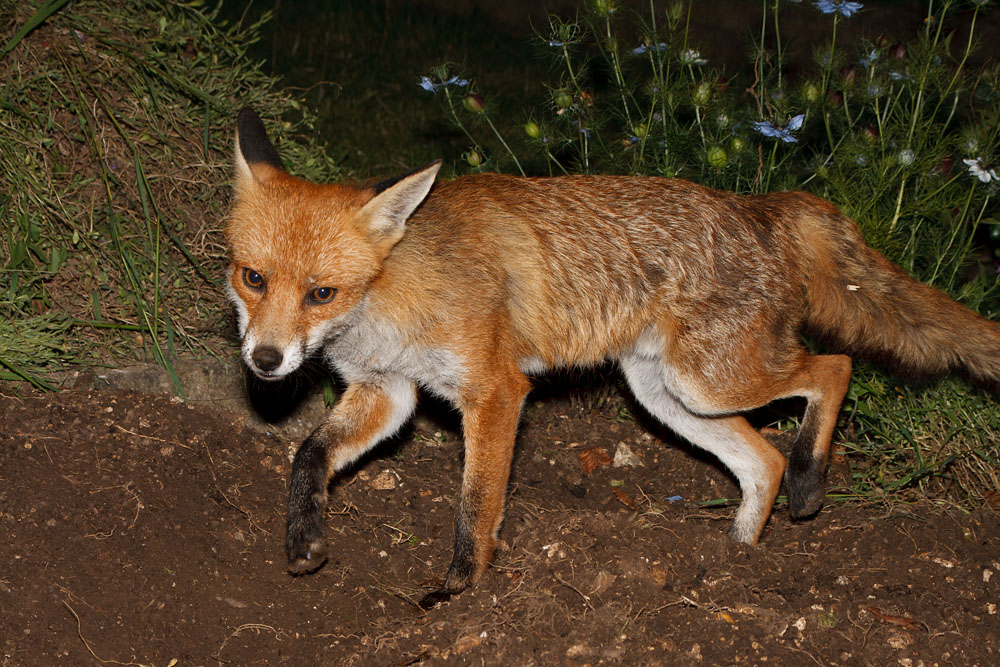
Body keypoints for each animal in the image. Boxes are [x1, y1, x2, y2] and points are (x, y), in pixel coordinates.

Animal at [226, 107, 1000, 607]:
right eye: (252, 278)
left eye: (322, 292)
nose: (265, 360)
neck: (389, 299)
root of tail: (764, 206)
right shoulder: (388, 391)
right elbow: (308, 455)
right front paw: (304, 542)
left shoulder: (495, 391)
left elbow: (477, 504)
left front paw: (458, 590)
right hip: (668, 395)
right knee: (762, 459)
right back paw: (734, 562)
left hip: (712, 380)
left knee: (833, 369)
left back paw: (809, 484)